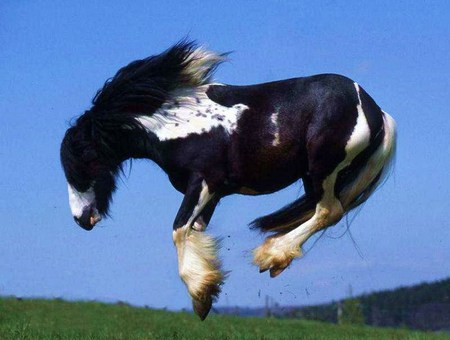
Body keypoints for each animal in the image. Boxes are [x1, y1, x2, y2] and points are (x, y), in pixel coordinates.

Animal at [60, 41, 398, 320]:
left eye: (79, 165)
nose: (81, 219)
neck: (174, 121)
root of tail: (377, 111)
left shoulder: (203, 182)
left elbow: (178, 229)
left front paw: (201, 295)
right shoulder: (213, 193)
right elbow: (194, 231)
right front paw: (207, 289)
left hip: (324, 169)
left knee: (329, 211)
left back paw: (271, 256)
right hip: (313, 176)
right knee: (321, 212)